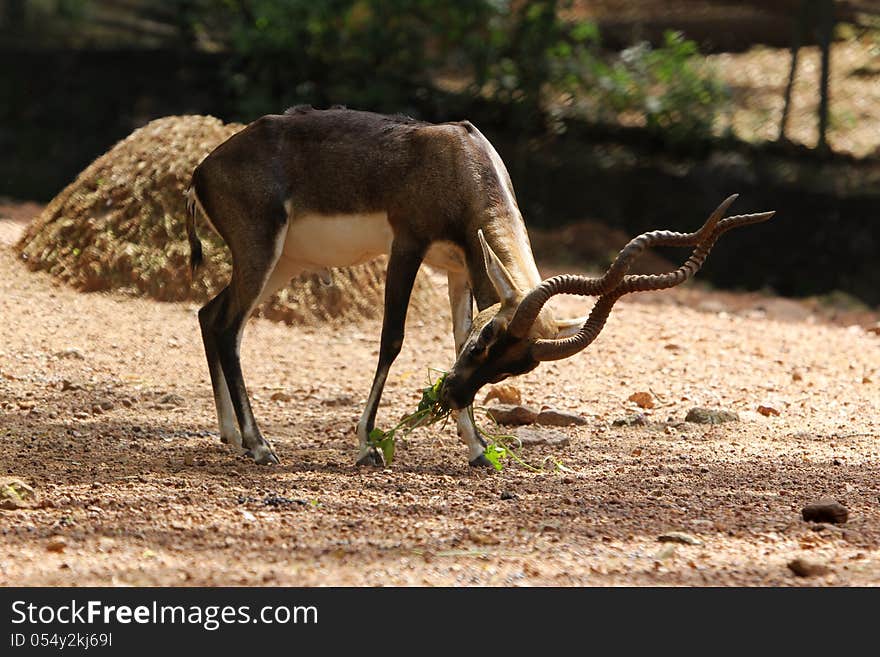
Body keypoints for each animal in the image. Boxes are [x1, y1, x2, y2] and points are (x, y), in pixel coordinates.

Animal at [184, 106, 768, 466]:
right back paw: (260, 446)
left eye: (515, 367)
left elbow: (448, 335)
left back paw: (233, 435)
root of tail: (202, 169)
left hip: (283, 263)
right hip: (264, 253)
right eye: (488, 342)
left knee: (214, 317)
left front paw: (478, 449)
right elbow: (392, 340)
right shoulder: (409, 246)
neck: (461, 162)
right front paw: (367, 447)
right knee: (229, 325)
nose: (452, 392)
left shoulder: (460, 267)